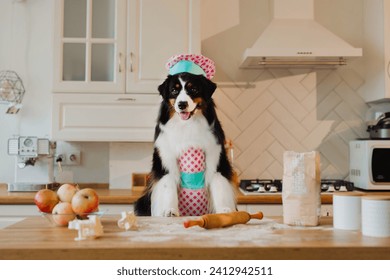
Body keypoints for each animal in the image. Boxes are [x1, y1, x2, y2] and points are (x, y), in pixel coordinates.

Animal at [134, 71, 238, 215]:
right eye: (174, 90)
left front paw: (225, 210)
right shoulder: (166, 161)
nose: (182, 104)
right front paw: (169, 211)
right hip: (142, 202)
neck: (188, 125)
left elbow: (219, 186)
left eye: (193, 89)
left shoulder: (217, 160)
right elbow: (168, 186)